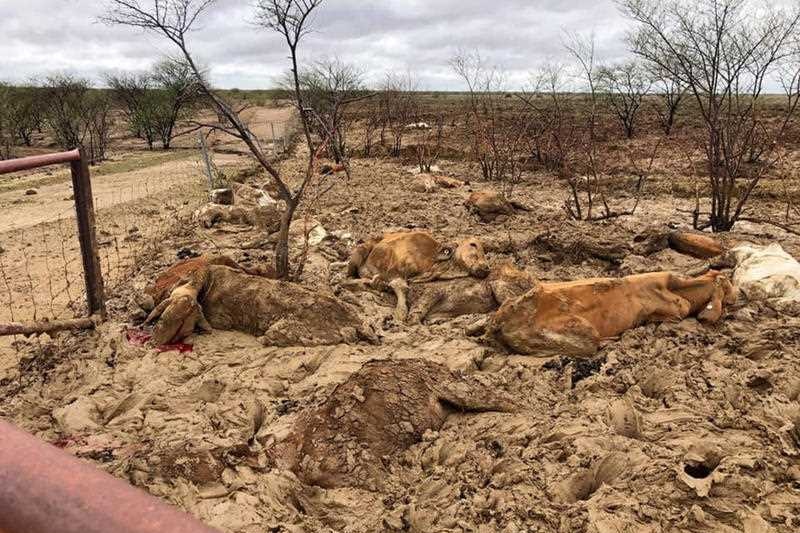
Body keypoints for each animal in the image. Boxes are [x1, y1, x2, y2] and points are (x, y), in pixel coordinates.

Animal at [342, 230, 490, 320]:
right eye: (472, 244)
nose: (486, 267)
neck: (432, 262)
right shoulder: (395, 272)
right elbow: (401, 286)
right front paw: (400, 313)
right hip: (358, 255)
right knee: (351, 277)